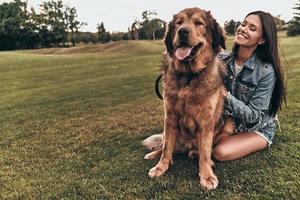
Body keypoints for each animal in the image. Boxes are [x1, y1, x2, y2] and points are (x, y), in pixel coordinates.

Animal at [142, 7, 230, 189]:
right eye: (179, 23)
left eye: (199, 23)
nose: (183, 31)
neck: (189, 75)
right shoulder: (170, 116)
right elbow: (166, 148)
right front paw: (161, 167)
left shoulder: (206, 121)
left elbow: (205, 151)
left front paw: (207, 175)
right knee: (164, 145)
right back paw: (154, 154)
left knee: (200, 151)